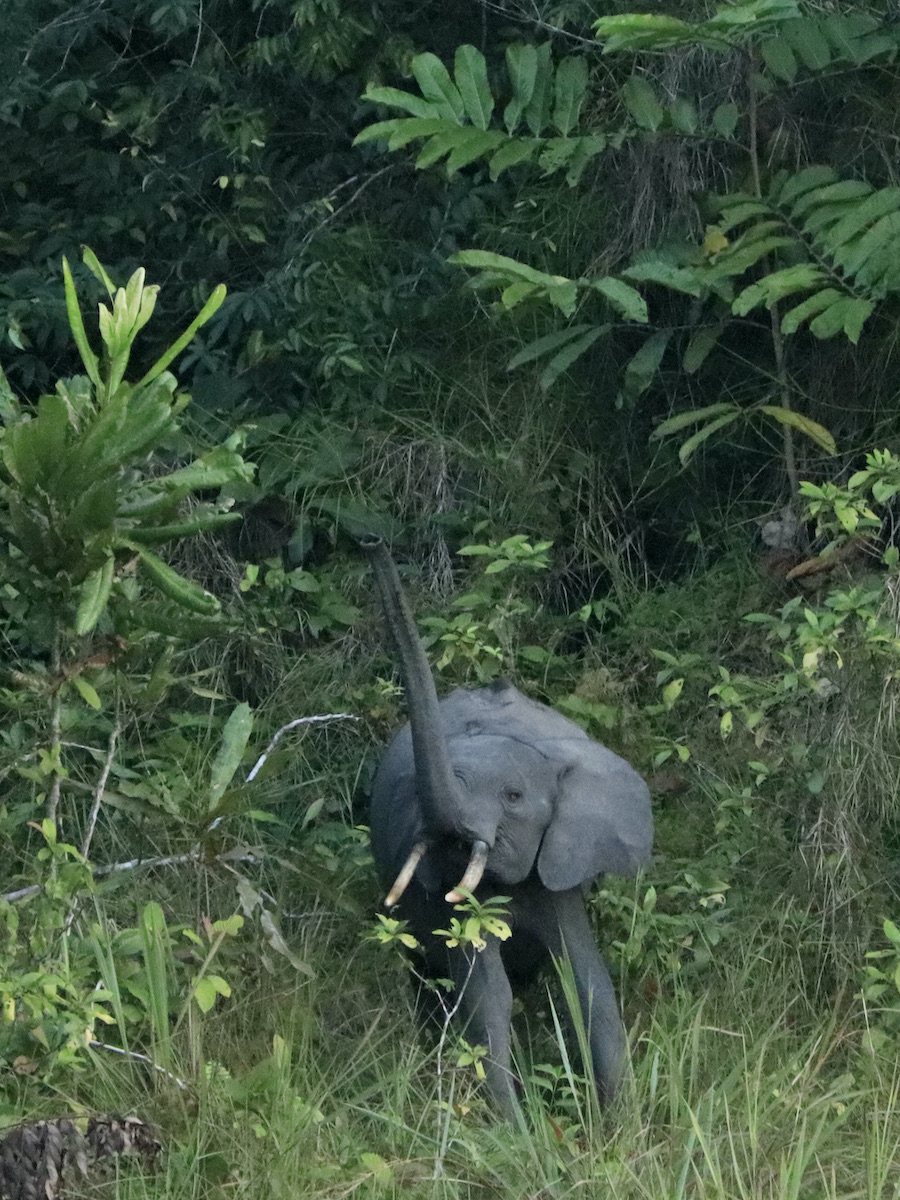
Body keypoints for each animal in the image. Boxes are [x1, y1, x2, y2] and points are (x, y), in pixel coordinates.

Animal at [361, 536, 653, 1118]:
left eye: (513, 797)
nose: (371, 541)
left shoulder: (558, 862)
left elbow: (584, 975)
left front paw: (623, 1121)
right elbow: (484, 992)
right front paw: (515, 1131)